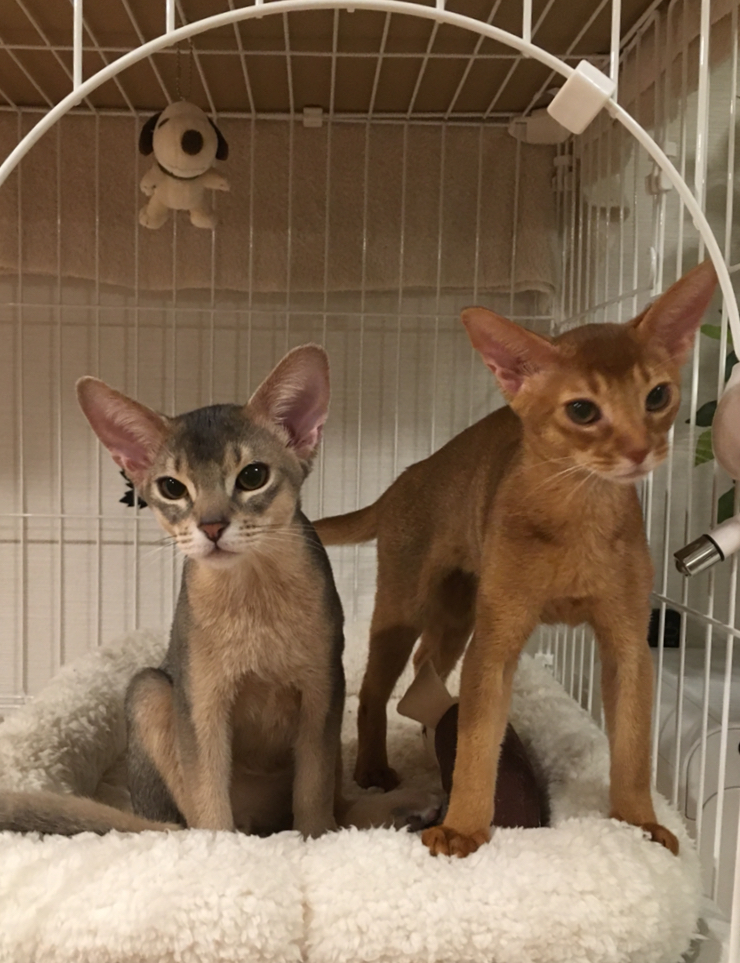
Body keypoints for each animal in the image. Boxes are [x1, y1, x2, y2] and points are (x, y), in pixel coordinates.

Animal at [0, 345, 437, 837]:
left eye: (253, 475)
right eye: (172, 487)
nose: (211, 527)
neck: (253, 596)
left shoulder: (322, 691)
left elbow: (314, 796)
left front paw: (314, 841)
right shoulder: (203, 701)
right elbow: (210, 800)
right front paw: (222, 851)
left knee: (338, 804)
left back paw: (403, 807)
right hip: (150, 690)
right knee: (189, 819)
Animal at [314, 260, 718, 858]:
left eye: (658, 396)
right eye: (582, 409)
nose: (640, 449)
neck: (578, 517)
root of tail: (403, 480)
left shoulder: (626, 643)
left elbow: (633, 746)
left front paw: (640, 824)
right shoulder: (496, 642)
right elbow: (480, 740)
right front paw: (463, 828)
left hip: (459, 613)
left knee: (426, 668)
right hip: (404, 607)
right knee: (372, 690)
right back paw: (373, 769)